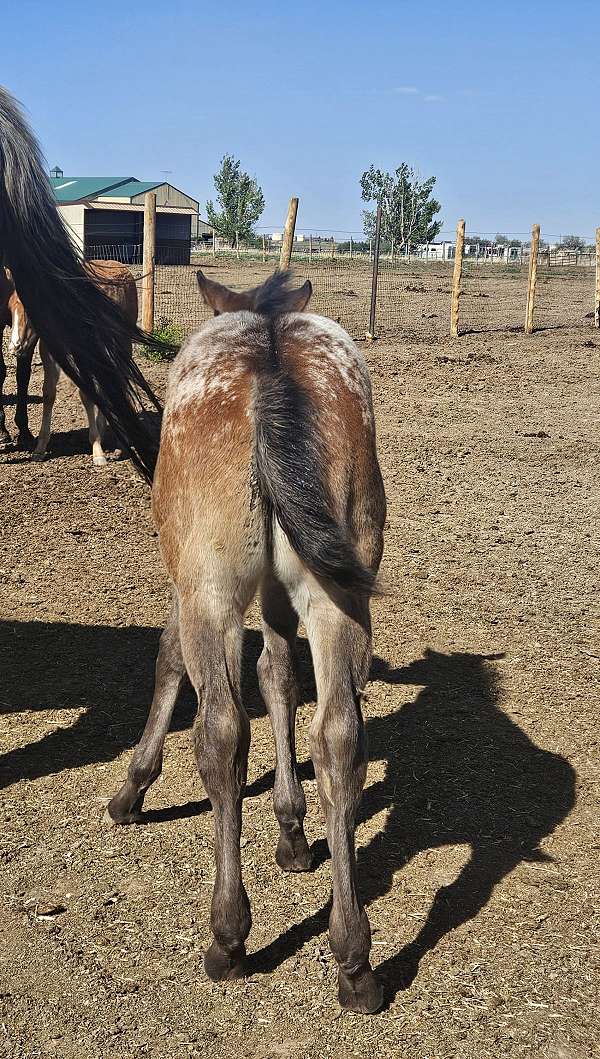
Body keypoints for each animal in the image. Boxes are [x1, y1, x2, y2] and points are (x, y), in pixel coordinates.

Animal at [1, 261, 139, 466]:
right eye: (10, 307)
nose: (15, 346)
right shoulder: (49, 352)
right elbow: (48, 393)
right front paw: (40, 448)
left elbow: (87, 394)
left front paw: (97, 451)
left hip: (122, 344)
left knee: (120, 382)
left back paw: (121, 445)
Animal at [108, 269, 387, 1013]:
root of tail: (269, 358)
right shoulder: (280, 598)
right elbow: (281, 676)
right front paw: (292, 829)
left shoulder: (191, 585)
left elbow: (169, 658)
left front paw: (133, 786)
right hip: (338, 596)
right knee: (339, 738)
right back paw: (354, 959)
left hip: (212, 589)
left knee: (222, 733)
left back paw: (228, 936)